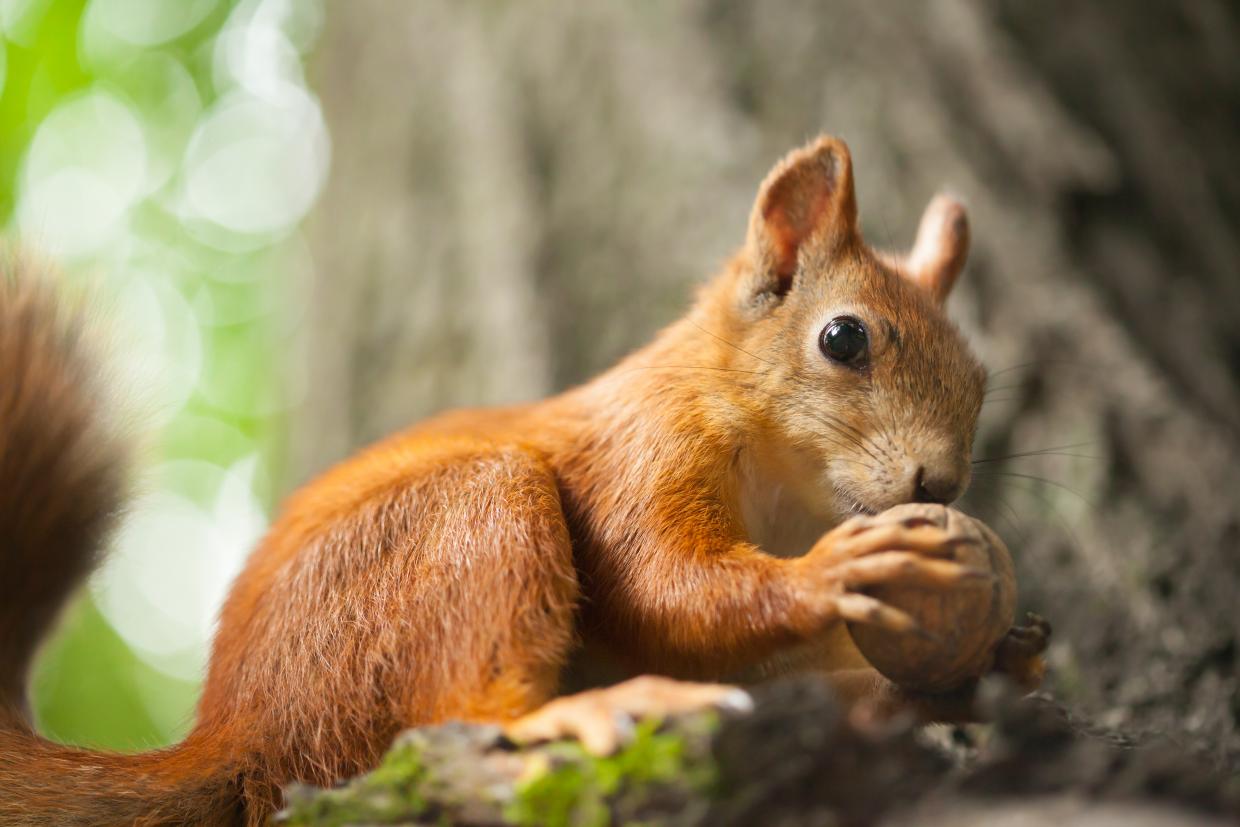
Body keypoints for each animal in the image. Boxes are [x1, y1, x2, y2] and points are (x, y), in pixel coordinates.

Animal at [0, 135, 1046, 823]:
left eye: (981, 377)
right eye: (843, 338)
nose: (939, 483)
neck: (791, 491)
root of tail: (238, 731)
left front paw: (998, 653)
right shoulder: (641, 452)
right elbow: (667, 590)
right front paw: (842, 569)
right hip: (464, 523)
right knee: (470, 703)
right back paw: (583, 709)